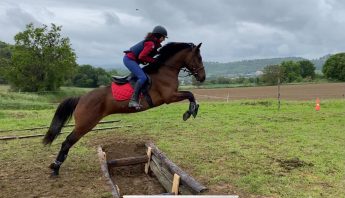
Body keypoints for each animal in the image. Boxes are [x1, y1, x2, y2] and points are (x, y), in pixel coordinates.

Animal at [42, 42, 204, 176]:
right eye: (199, 58)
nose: (202, 77)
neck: (165, 70)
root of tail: (81, 98)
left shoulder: (171, 96)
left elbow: (191, 95)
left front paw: (192, 110)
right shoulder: (169, 97)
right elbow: (190, 94)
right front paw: (190, 111)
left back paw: (54, 166)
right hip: (85, 125)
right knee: (67, 142)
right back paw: (55, 168)